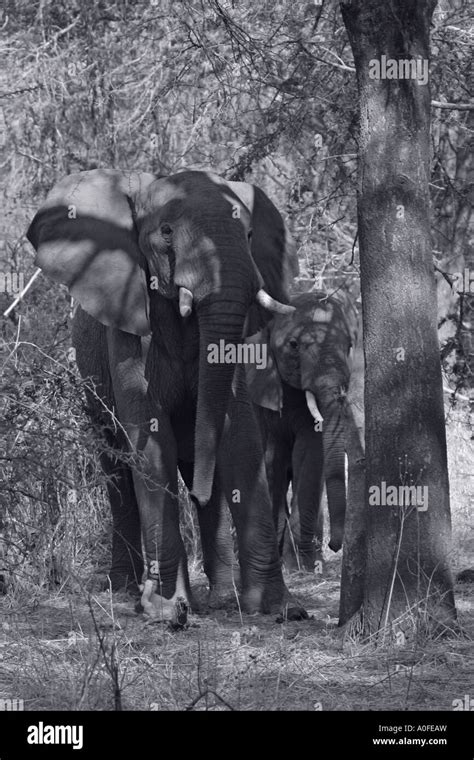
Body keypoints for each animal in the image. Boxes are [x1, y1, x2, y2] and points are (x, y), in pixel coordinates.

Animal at [26, 168, 308, 624]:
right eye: (166, 232)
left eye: (248, 234)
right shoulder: (128, 317)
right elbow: (149, 431)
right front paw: (164, 610)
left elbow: (239, 434)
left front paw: (281, 608)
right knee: (118, 471)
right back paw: (125, 588)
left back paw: (220, 596)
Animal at [246, 290, 358, 568]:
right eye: (294, 345)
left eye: (350, 346)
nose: (334, 545)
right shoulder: (259, 393)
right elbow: (271, 458)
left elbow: (310, 455)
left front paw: (303, 565)